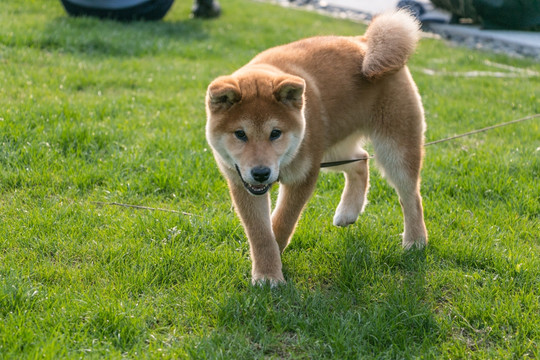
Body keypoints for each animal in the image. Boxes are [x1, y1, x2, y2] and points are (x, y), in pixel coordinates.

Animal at [205, 9, 428, 286]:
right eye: (240, 134)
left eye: (275, 133)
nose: (261, 173)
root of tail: (364, 42)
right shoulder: (242, 184)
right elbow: (260, 233)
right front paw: (267, 271)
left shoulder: (304, 177)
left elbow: (282, 223)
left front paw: (272, 266)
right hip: (331, 148)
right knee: (361, 160)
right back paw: (348, 211)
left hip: (393, 148)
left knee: (410, 195)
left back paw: (415, 240)